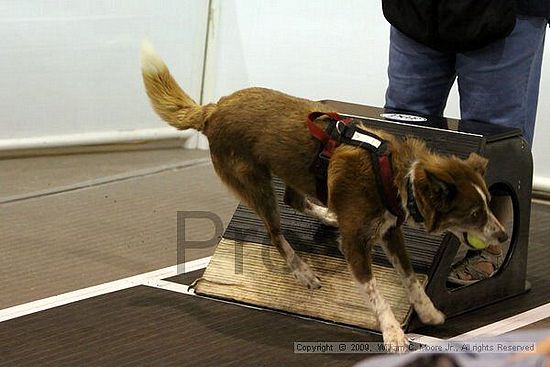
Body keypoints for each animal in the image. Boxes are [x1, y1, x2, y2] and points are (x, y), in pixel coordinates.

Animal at [141, 43, 508, 350]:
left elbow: (410, 278)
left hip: (295, 170)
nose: (504, 235)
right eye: (474, 213)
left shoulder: (391, 232)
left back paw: (328, 214)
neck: (395, 174)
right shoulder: (356, 244)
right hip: (254, 183)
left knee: (294, 200)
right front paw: (392, 333)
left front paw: (428, 311)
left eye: (489, 205)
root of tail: (213, 109)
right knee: (275, 232)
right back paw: (303, 271)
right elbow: (376, 293)